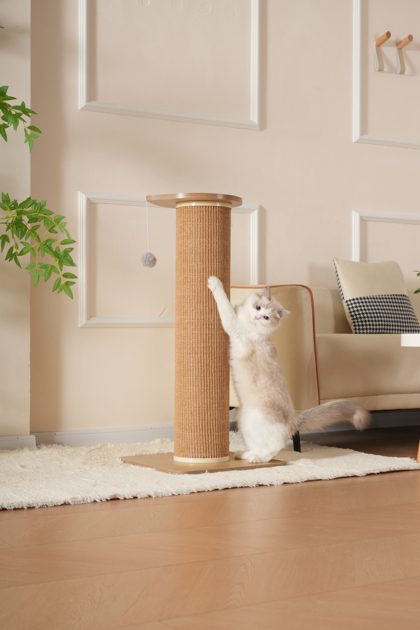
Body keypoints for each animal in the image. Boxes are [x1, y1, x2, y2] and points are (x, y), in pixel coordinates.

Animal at [208, 276, 371, 463]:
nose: (256, 317)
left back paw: (253, 459)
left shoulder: (233, 325)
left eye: (266, 317)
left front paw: (214, 282)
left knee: (271, 451)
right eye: (258, 307)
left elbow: (224, 303)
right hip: (242, 421)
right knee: (260, 447)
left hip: (251, 423)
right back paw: (243, 454)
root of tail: (294, 417)